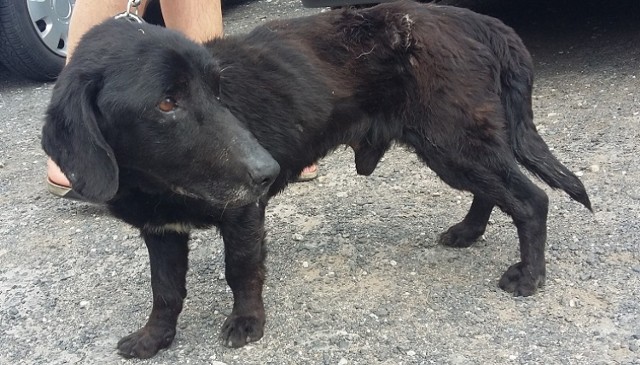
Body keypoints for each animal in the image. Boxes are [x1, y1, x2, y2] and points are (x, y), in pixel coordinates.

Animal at [41, 0, 592, 358]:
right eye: (166, 103)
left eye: (218, 90)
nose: (266, 171)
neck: (155, 182)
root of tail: (475, 19)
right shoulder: (162, 233)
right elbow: (165, 291)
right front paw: (154, 339)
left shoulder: (243, 213)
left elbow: (241, 271)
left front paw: (247, 323)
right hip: (456, 151)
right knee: (494, 194)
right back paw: (469, 232)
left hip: (454, 143)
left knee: (530, 199)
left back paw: (529, 275)